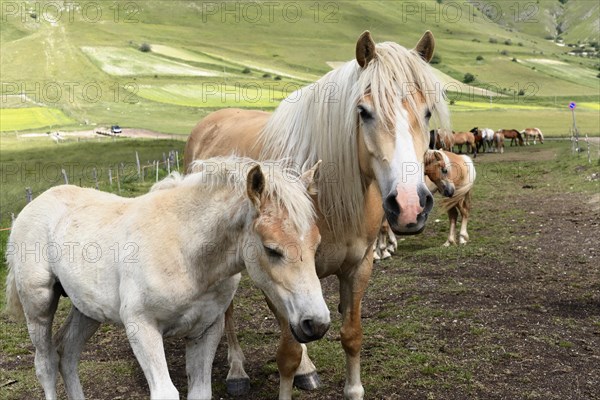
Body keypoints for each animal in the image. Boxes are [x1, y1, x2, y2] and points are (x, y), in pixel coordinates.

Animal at [7, 156, 330, 400]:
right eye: (271, 249)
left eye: (316, 244)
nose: (316, 324)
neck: (185, 252)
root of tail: (32, 206)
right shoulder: (142, 327)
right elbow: (165, 392)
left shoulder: (206, 329)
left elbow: (200, 392)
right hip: (38, 306)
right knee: (46, 363)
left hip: (87, 309)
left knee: (68, 353)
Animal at [183, 32, 450, 400]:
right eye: (364, 111)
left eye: (426, 113)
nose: (410, 205)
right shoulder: (277, 272)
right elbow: (288, 352)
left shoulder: (358, 268)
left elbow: (351, 336)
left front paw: (349, 387)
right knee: (229, 315)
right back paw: (237, 372)